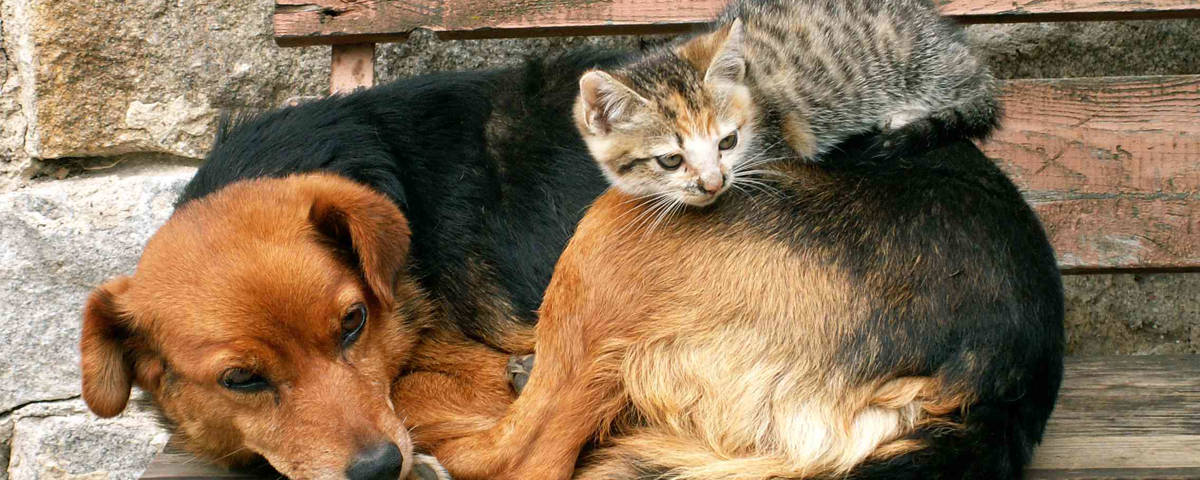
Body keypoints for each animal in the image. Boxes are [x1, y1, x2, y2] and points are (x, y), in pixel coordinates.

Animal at [576, 0, 998, 206]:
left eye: (727, 142)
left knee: (978, 94)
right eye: (670, 160)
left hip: (923, 63)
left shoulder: (782, 138)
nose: (714, 183)